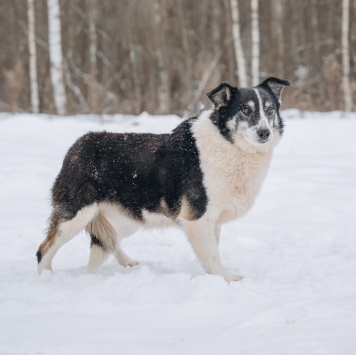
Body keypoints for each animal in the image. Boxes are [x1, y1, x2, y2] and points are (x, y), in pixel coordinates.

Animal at [36, 76, 290, 282]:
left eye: (269, 110)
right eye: (245, 110)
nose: (265, 133)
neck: (228, 143)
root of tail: (76, 146)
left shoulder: (212, 221)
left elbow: (211, 252)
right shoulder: (198, 219)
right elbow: (213, 256)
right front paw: (226, 280)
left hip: (125, 219)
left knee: (109, 240)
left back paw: (126, 262)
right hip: (76, 215)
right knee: (44, 249)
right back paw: (45, 278)